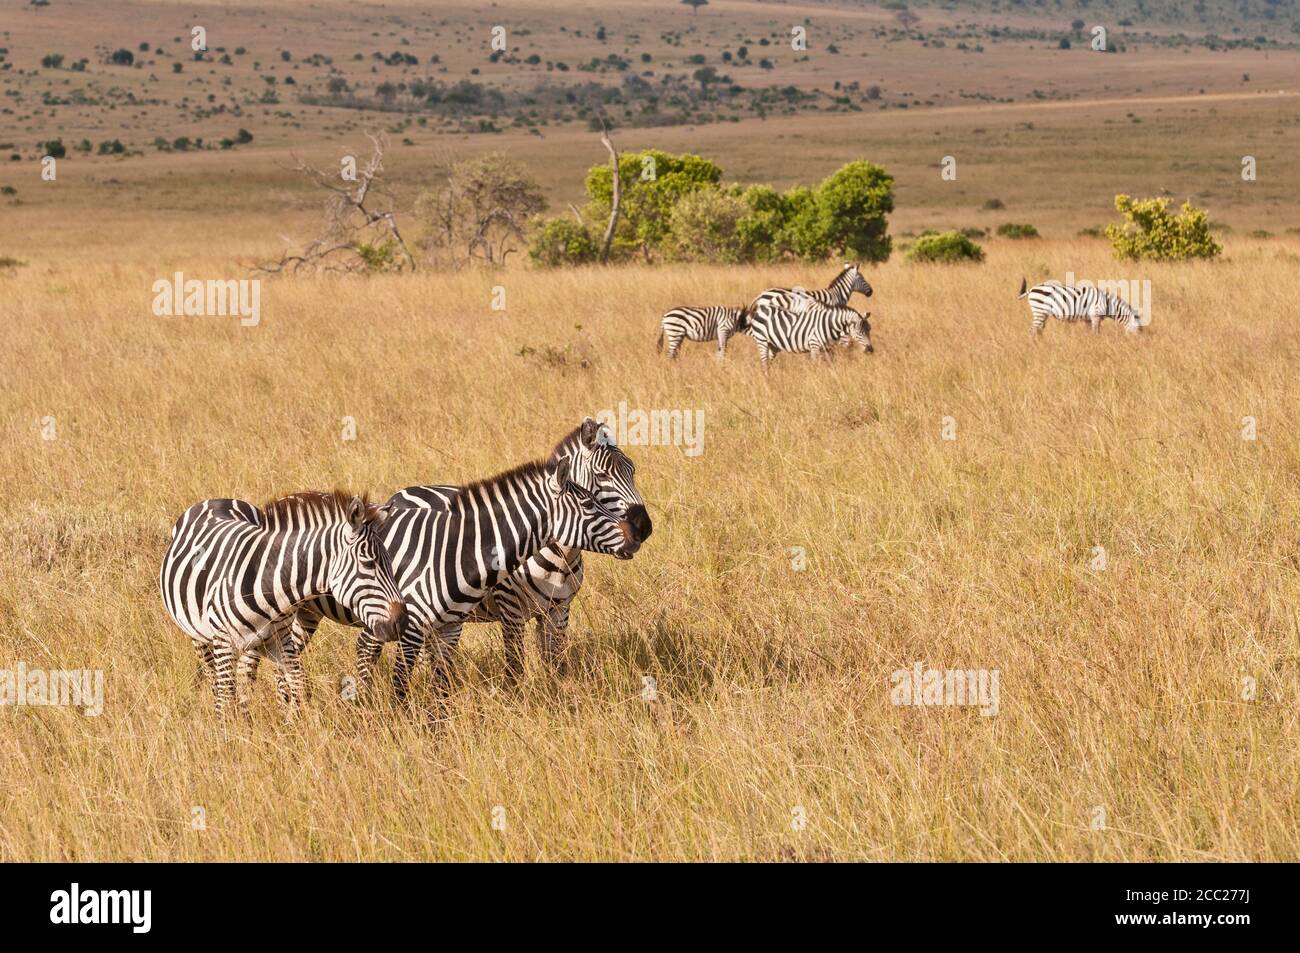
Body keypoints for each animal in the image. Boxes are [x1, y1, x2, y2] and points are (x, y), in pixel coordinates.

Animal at [160, 491, 408, 712]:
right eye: (369, 563)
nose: (402, 622)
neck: (269, 584)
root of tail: (216, 500)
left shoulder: (280, 640)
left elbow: (298, 685)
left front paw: (297, 727)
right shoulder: (224, 643)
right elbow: (224, 701)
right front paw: (227, 734)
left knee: (245, 677)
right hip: (200, 637)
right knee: (214, 680)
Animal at [743, 302, 873, 369]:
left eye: (869, 330)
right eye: (860, 332)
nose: (870, 350)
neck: (828, 325)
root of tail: (760, 309)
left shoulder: (827, 348)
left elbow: (830, 365)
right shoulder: (814, 345)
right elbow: (815, 365)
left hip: (772, 345)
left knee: (768, 363)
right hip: (762, 341)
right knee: (764, 363)